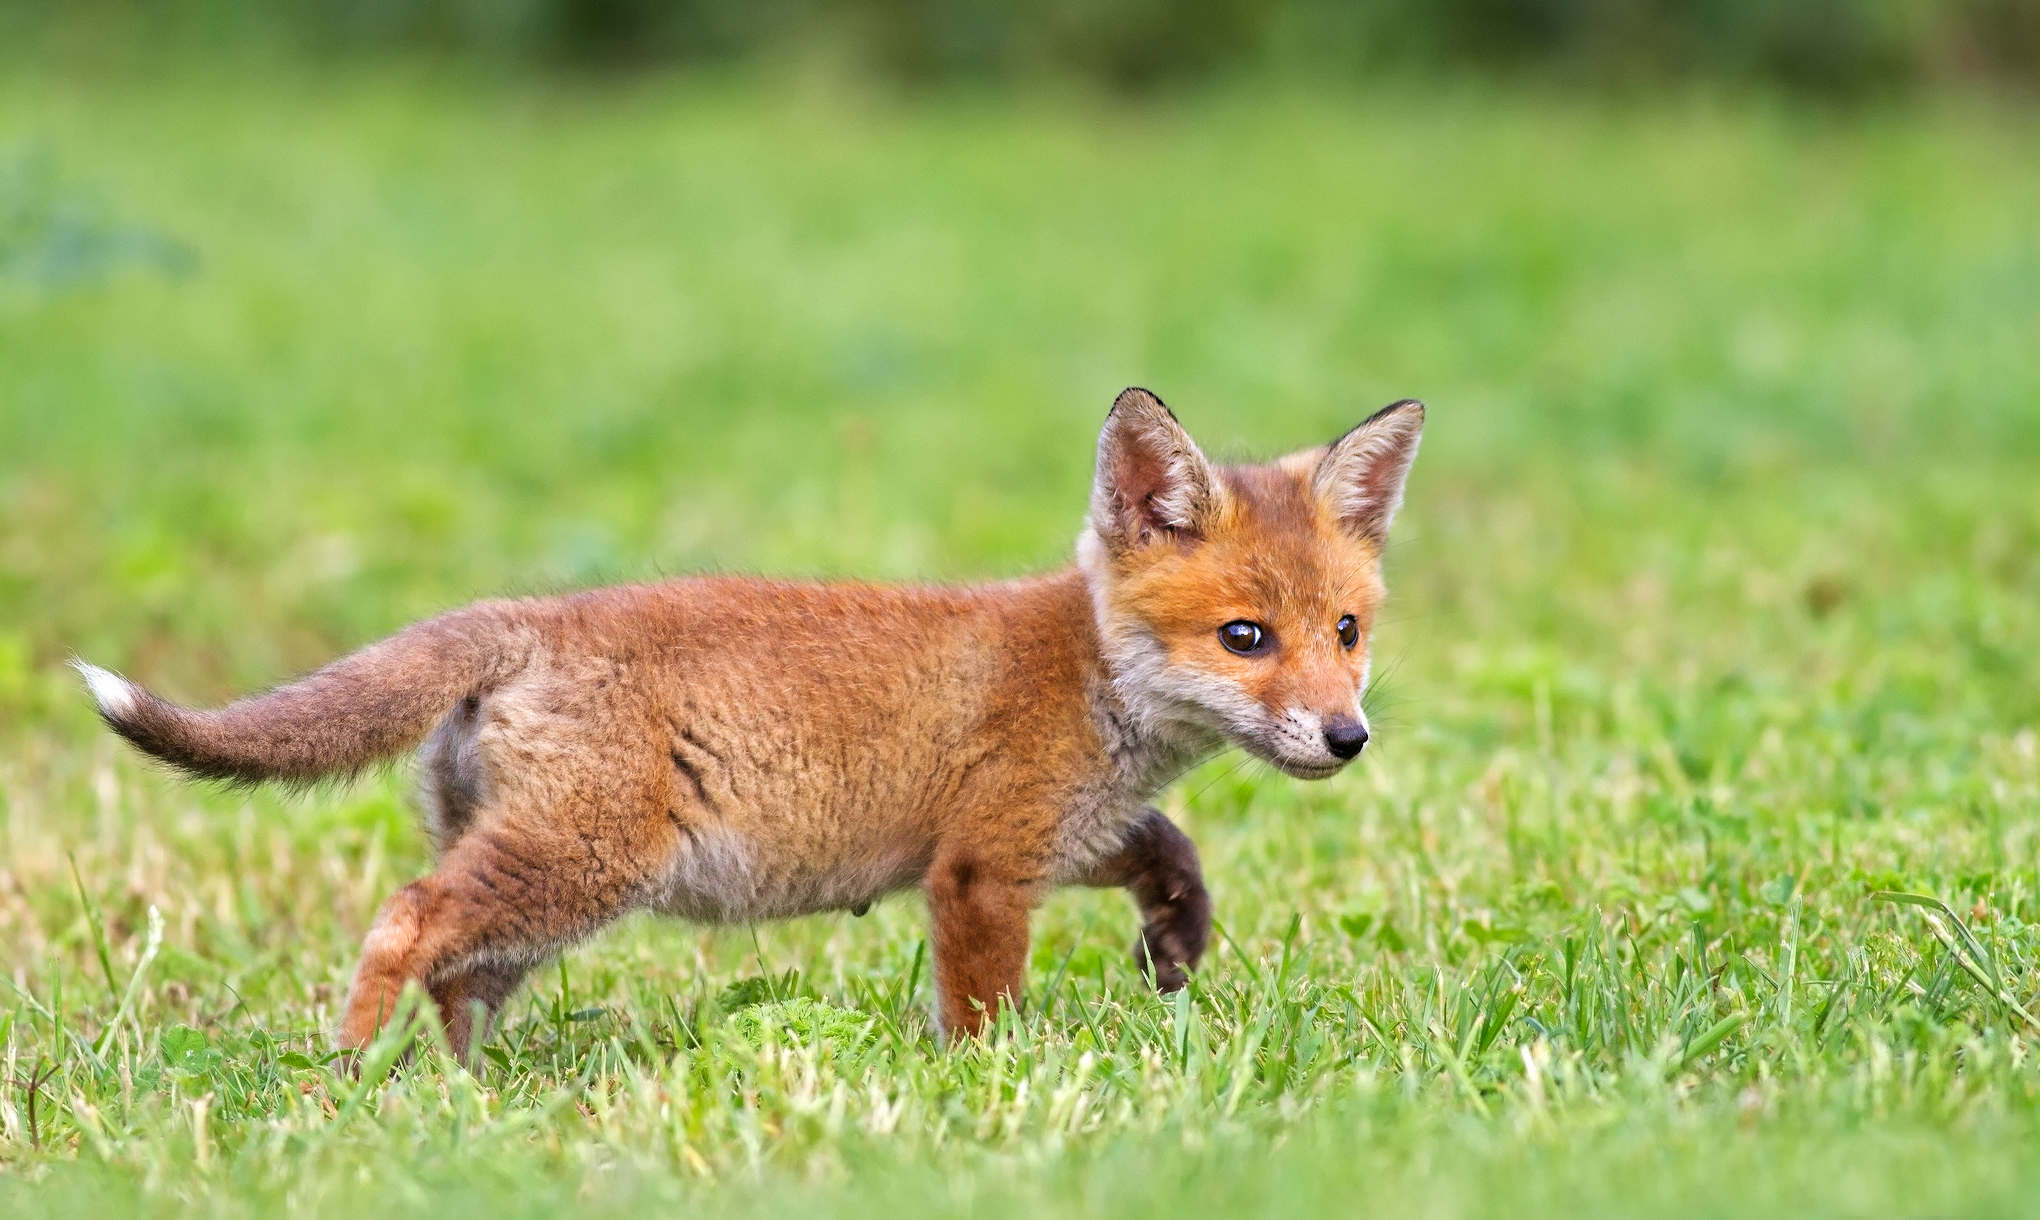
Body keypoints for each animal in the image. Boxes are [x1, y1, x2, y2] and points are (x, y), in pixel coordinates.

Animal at [79, 391, 1419, 1060]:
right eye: (1246, 636)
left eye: (1347, 629)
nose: (1346, 737)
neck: (1087, 670)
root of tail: (526, 615)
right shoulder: (982, 866)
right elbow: (983, 1010)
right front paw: (989, 1095)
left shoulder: (1059, 833)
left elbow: (1169, 850)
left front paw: (1174, 947)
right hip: (575, 863)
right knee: (406, 919)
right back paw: (353, 1075)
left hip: (541, 890)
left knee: (457, 974)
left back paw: (466, 1099)